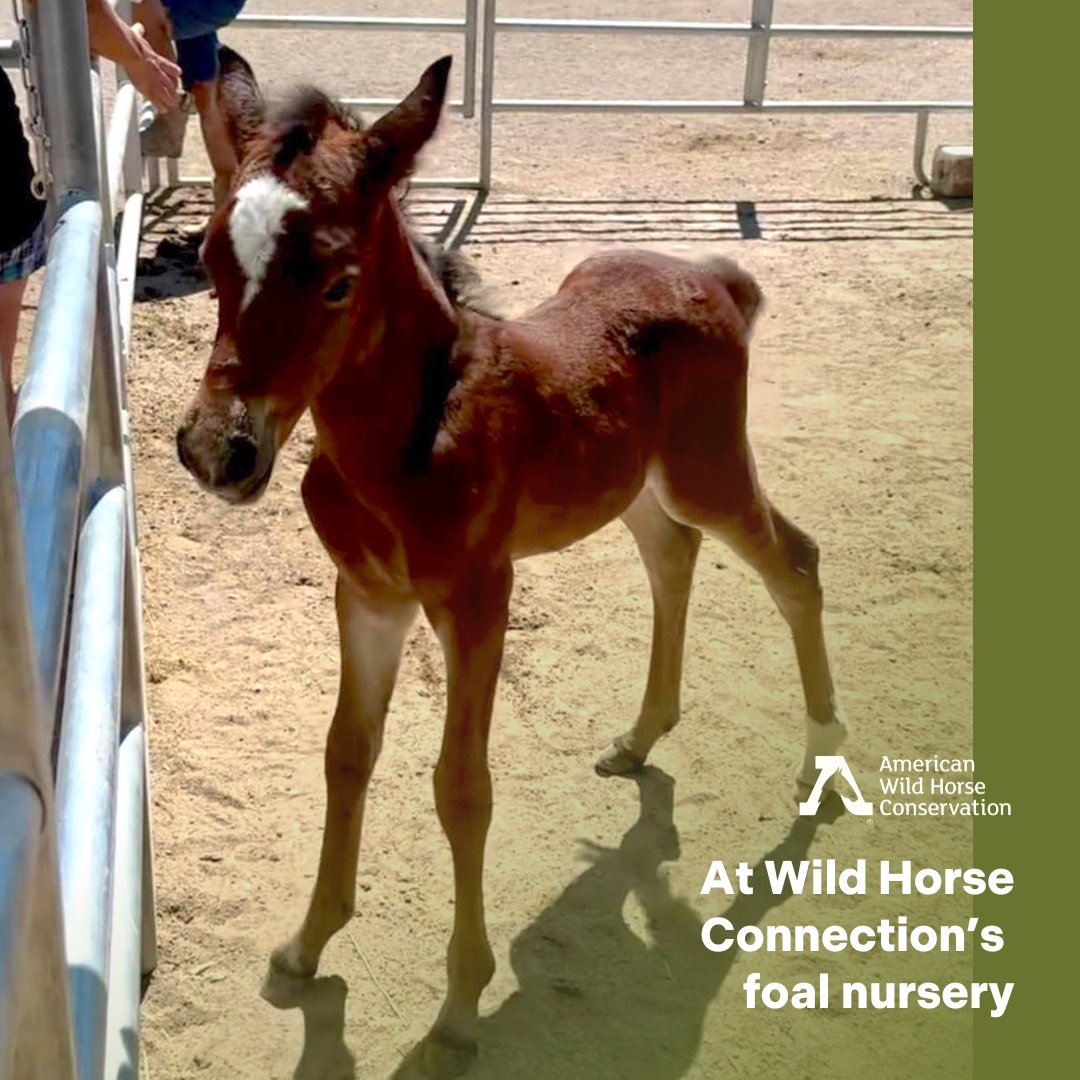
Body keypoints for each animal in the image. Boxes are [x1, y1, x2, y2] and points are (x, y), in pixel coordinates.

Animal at [176, 49, 848, 1078]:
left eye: (336, 281)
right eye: (212, 259)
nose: (219, 451)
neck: (408, 439)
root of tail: (715, 277)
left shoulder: (477, 599)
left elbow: (461, 789)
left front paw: (458, 1008)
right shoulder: (365, 598)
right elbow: (346, 754)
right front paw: (307, 942)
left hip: (705, 471)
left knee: (793, 562)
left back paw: (822, 754)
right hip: (634, 484)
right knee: (673, 556)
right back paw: (641, 735)